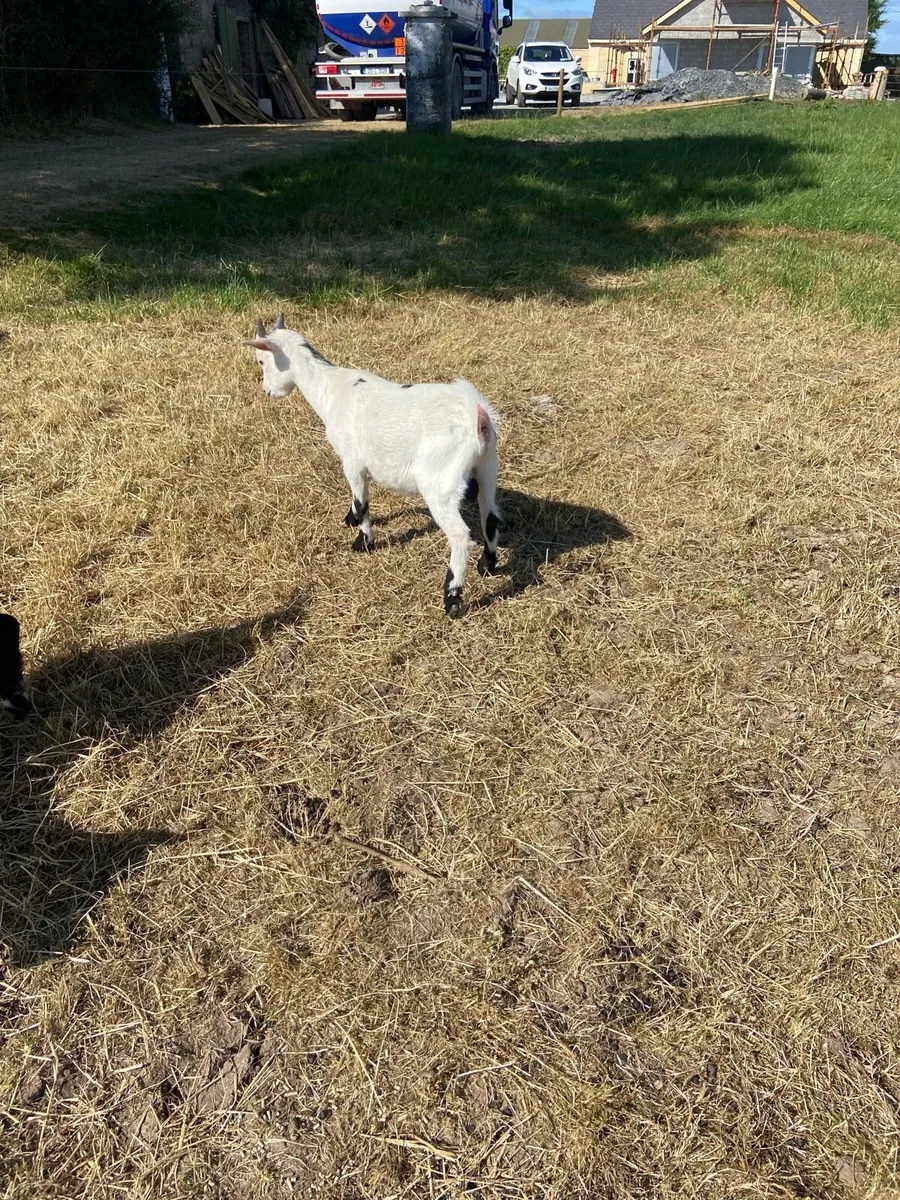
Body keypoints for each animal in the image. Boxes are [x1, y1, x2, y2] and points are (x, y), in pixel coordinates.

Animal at [247, 314, 501, 617]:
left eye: (261, 361)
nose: (267, 391)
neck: (329, 388)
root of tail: (477, 415)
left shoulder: (352, 461)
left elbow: (362, 501)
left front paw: (362, 541)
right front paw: (350, 520)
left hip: (440, 482)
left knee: (461, 536)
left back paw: (452, 597)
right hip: (487, 467)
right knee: (492, 516)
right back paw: (487, 566)